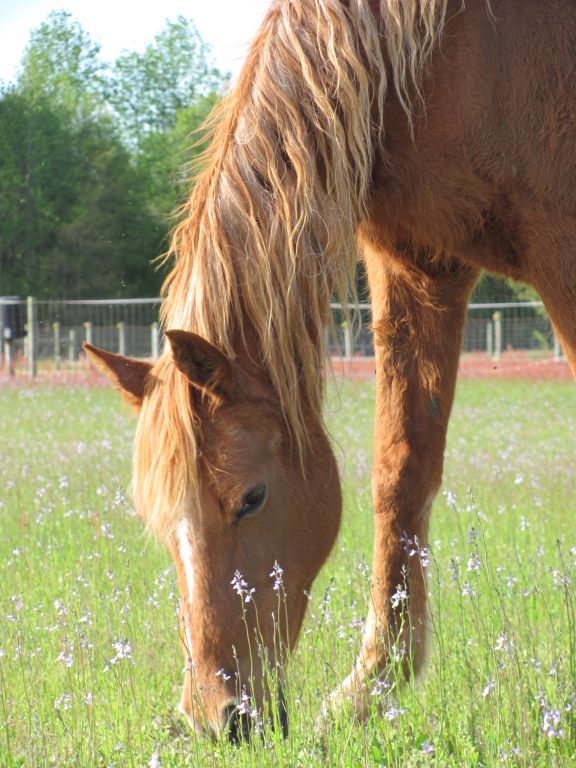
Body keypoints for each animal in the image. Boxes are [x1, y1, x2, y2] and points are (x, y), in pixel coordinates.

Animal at [85, 0, 576, 744]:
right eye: (157, 518)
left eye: (252, 497)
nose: (217, 717)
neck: (456, 53)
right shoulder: (418, 264)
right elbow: (400, 477)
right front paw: (368, 690)